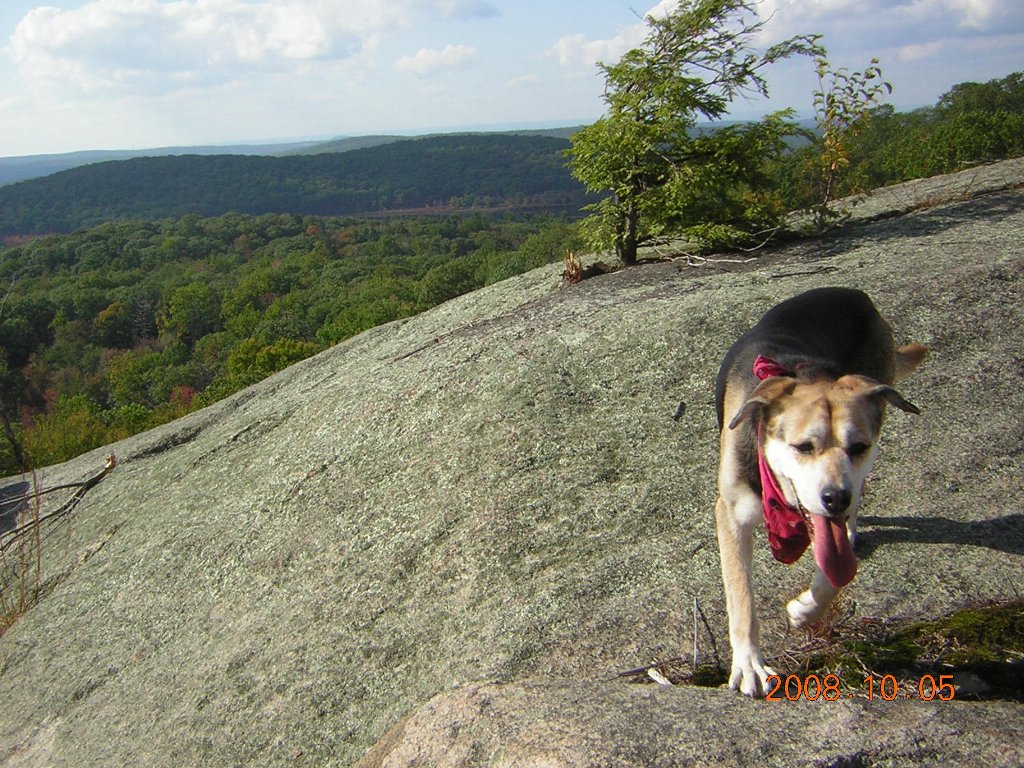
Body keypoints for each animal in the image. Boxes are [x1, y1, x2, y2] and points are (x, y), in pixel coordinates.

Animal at [712, 286, 929, 696]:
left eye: (858, 446)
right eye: (803, 447)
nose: (836, 498)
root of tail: (858, 295)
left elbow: (835, 572)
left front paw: (805, 609)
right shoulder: (730, 512)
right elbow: (741, 595)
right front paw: (749, 665)